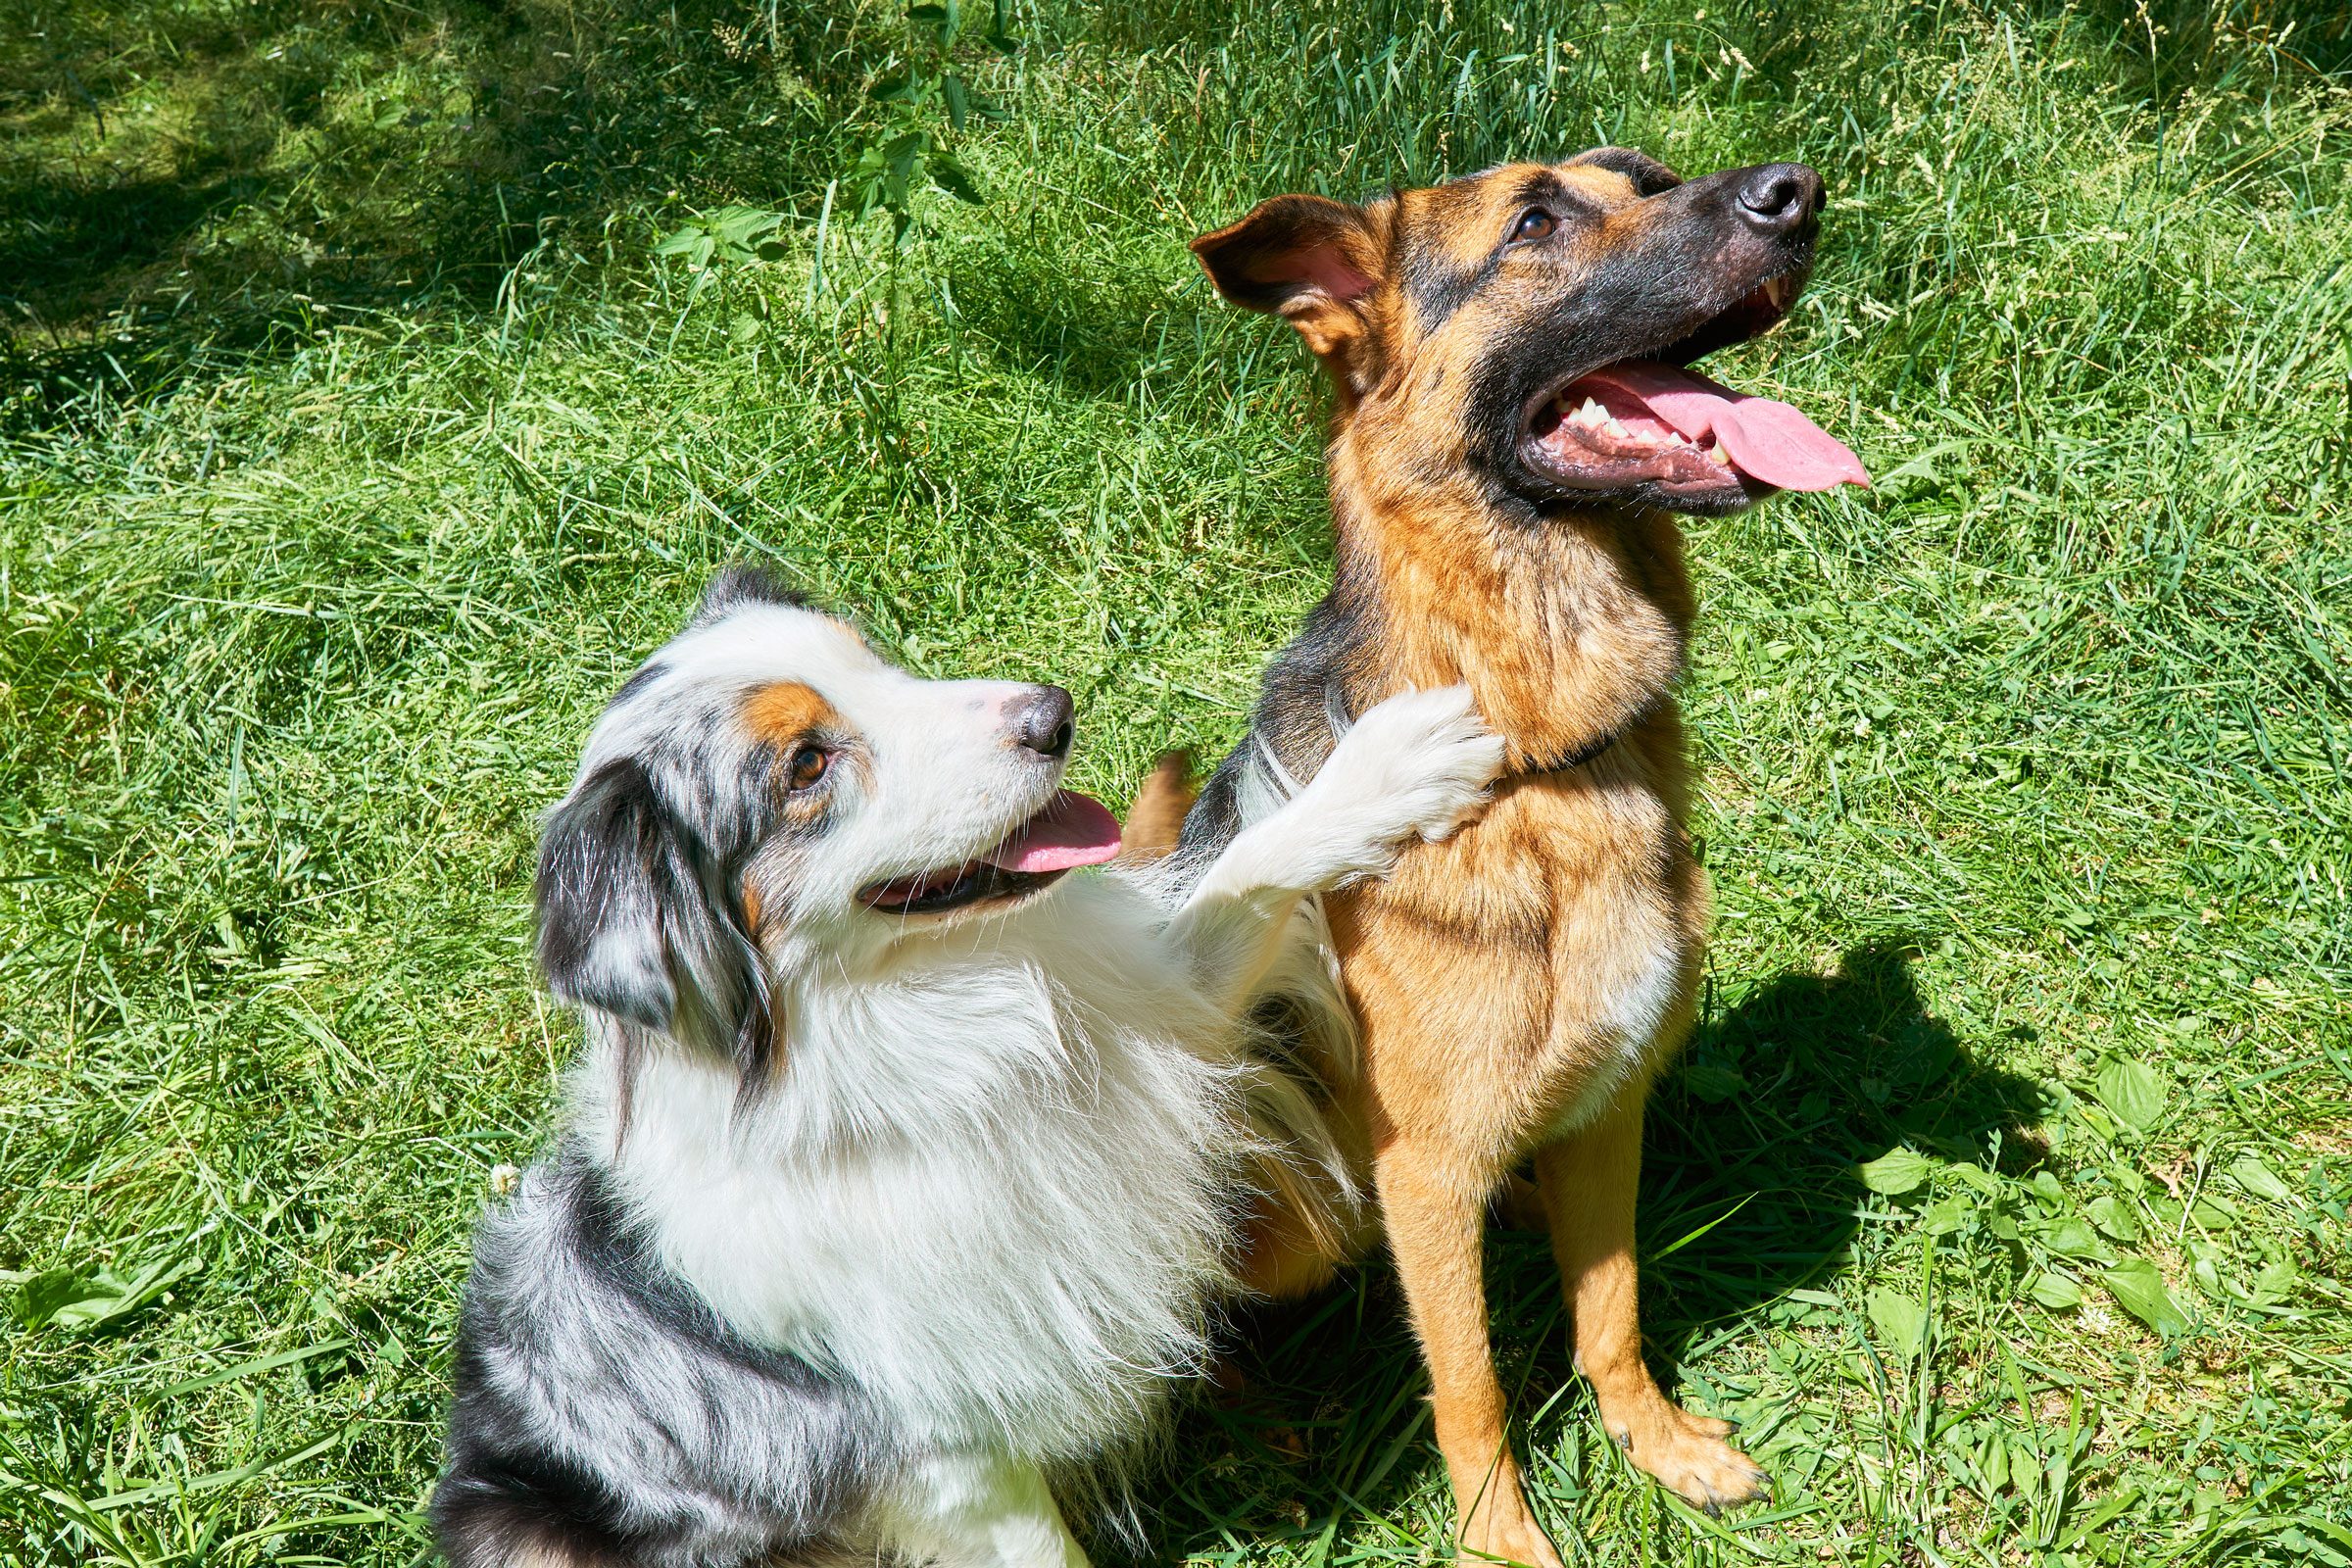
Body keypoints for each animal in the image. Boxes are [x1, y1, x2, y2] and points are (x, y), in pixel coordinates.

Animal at [432, 573, 1495, 1568]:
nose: (1052, 713)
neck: (945, 1015)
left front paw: (1390, 769)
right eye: (806, 764)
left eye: (873, 661)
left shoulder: (1163, 1002)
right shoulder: (952, 1453)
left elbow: (1251, 867)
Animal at [1176, 150, 1872, 1568]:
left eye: (1648, 178)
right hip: (1300, 1203)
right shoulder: (1427, 1176)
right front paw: (1504, 1539)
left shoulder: (1609, 1106)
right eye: (1536, 222)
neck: (1540, 763)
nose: (1796, 187)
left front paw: (1656, 1445)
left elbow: (1612, 1310)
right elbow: (1473, 1385)